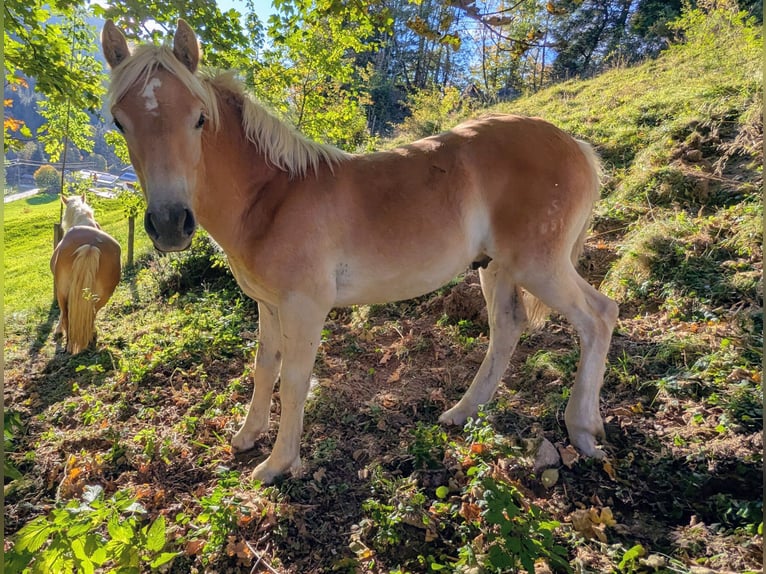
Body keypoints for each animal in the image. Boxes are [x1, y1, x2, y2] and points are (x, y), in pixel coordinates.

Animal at [51, 194, 122, 354]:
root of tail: (91, 244)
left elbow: (61, 313)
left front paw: (58, 330)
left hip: (62, 291)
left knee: (66, 315)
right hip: (103, 295)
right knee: (92, 314)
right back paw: (91, 336)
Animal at [101, 20, 618, 484]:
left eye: (199, 118)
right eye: (120, 122)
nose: (170, 223)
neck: (273, 195)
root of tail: (574, 144)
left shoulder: (304, 307)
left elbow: (294, 381)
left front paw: (277, 464)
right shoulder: (269, 305)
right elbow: (264, 368)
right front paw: (248, 437)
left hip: (540, 265)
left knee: (598, 316)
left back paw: (583, 430)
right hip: (498, 268)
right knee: (508, 329)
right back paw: (462, 413)